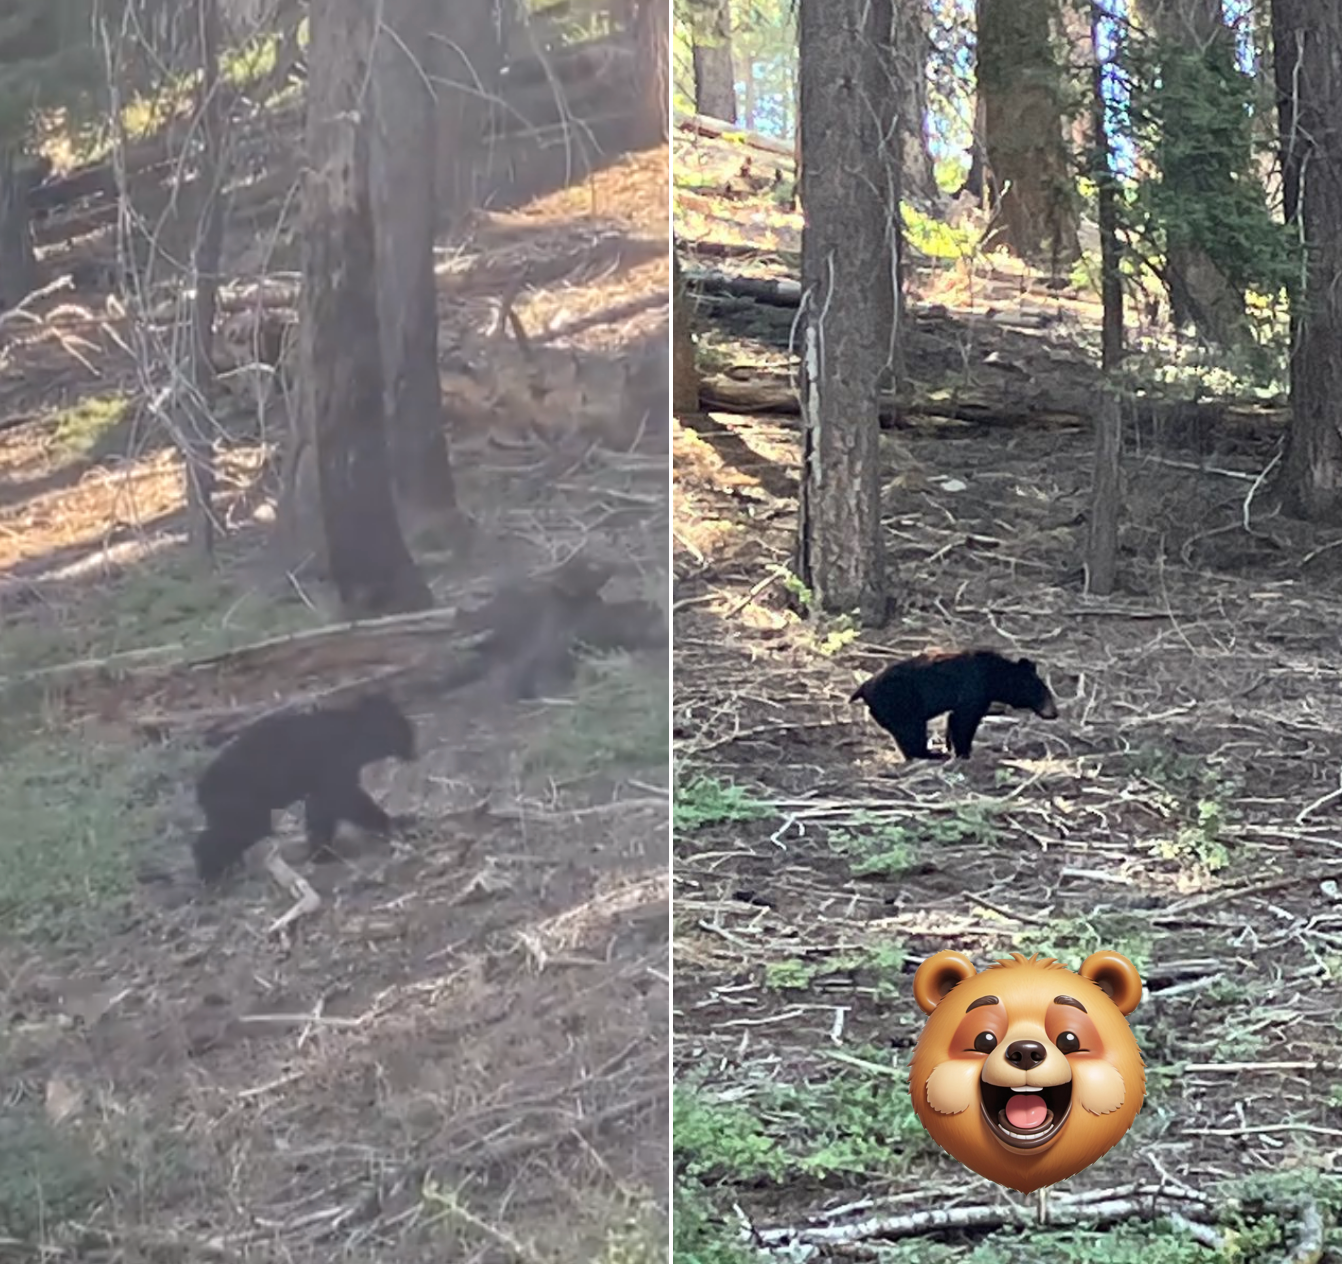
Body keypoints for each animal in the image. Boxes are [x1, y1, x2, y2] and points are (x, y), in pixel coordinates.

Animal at [191, 692, 416, 880]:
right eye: (404, 729)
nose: (414, 751)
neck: (354, 733)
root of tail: (202, 788)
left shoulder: (321, 791)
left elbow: (321, 819)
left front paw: (321, 853)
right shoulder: (335, 783)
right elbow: (353, 806)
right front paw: (395, 824)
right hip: (244, 815)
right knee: (211, 841)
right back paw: (211, 875)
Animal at [848, 652, 1057, 762]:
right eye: (1042, 693)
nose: (1054, 713)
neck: (993, 676)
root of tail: (863, 689)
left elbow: (954, 719)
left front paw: (951, 746)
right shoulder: (973, 689)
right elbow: (964, 720)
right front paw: (963, 753)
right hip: (899, 702)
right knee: (911, 730)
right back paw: (929, 754)